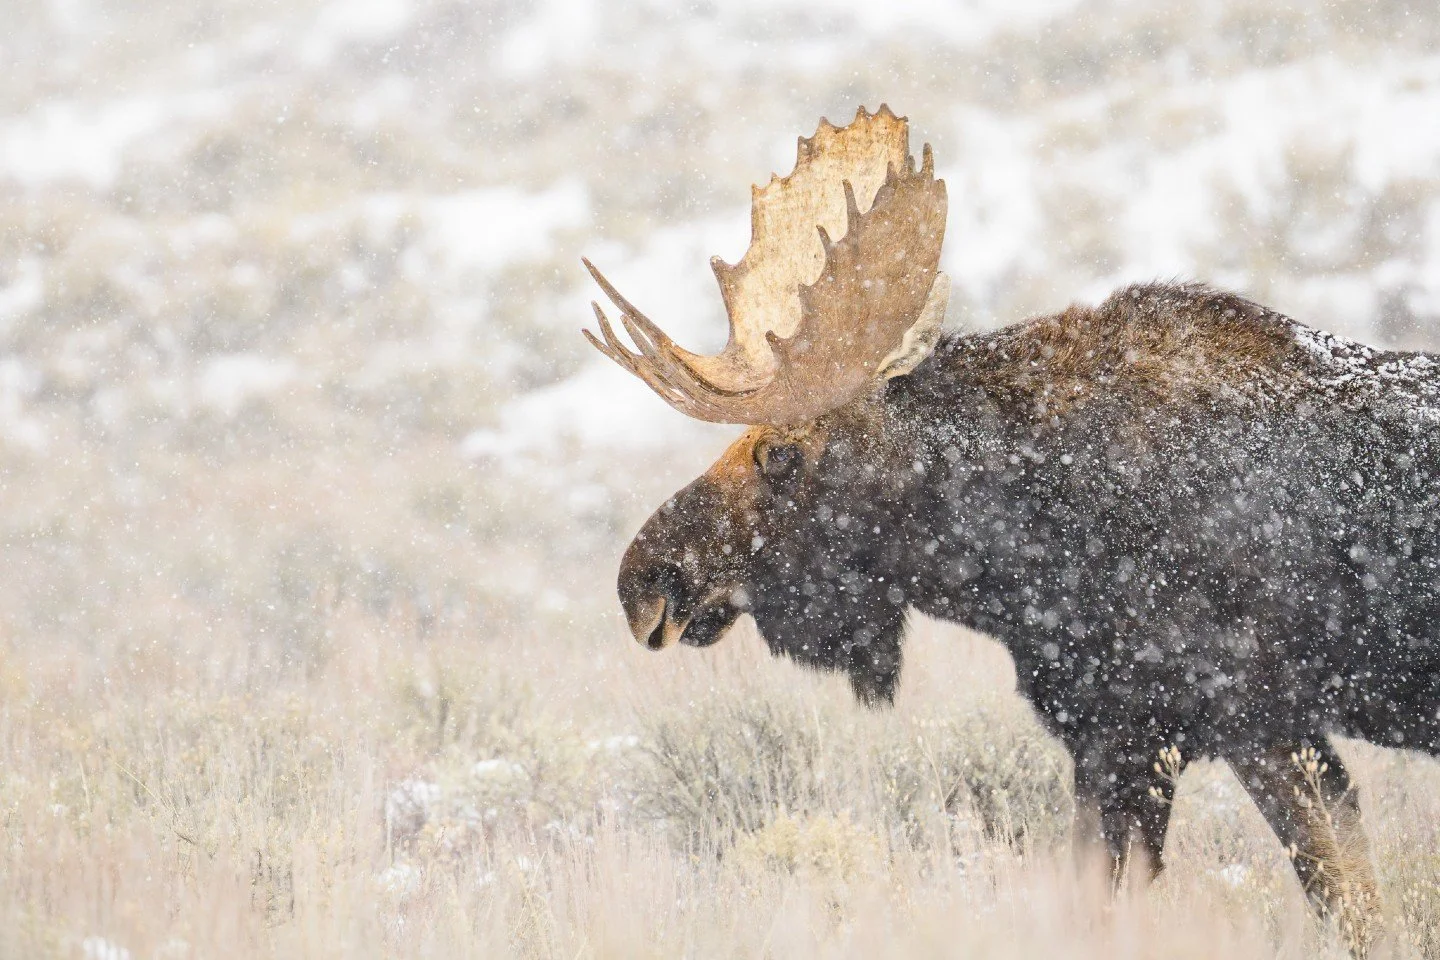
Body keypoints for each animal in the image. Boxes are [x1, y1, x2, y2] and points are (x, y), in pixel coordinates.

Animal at [583, 105, 1440, 950]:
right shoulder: (1114, 734)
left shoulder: (1245, 718)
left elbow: (1350, 905)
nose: (643, 580)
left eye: (781, 453)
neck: (1024, 550)